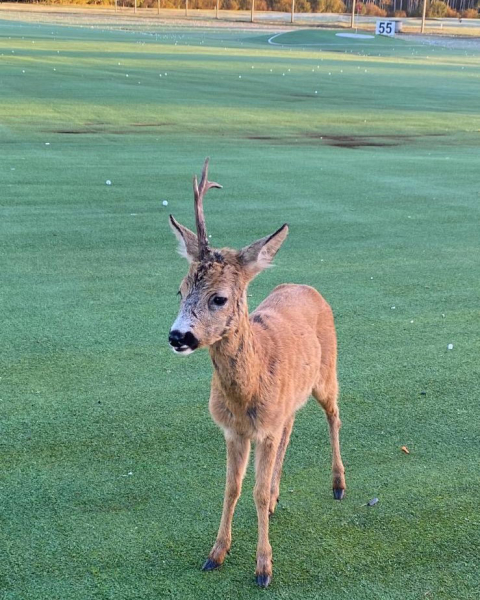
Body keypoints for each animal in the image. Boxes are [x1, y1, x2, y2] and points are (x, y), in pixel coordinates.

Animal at [168, 158, 344, 584]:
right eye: (180, 290)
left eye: (219, 298)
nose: (177, 336)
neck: (245, 393)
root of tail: (306, 286)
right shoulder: (235, 430)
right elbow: (232, 489)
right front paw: (216, 553)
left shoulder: (262, 428)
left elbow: (256, 492)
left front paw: (264, 567)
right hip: (291, 401)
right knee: (291, 430)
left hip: (327, 372)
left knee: (334, 414)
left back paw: (338, 485)